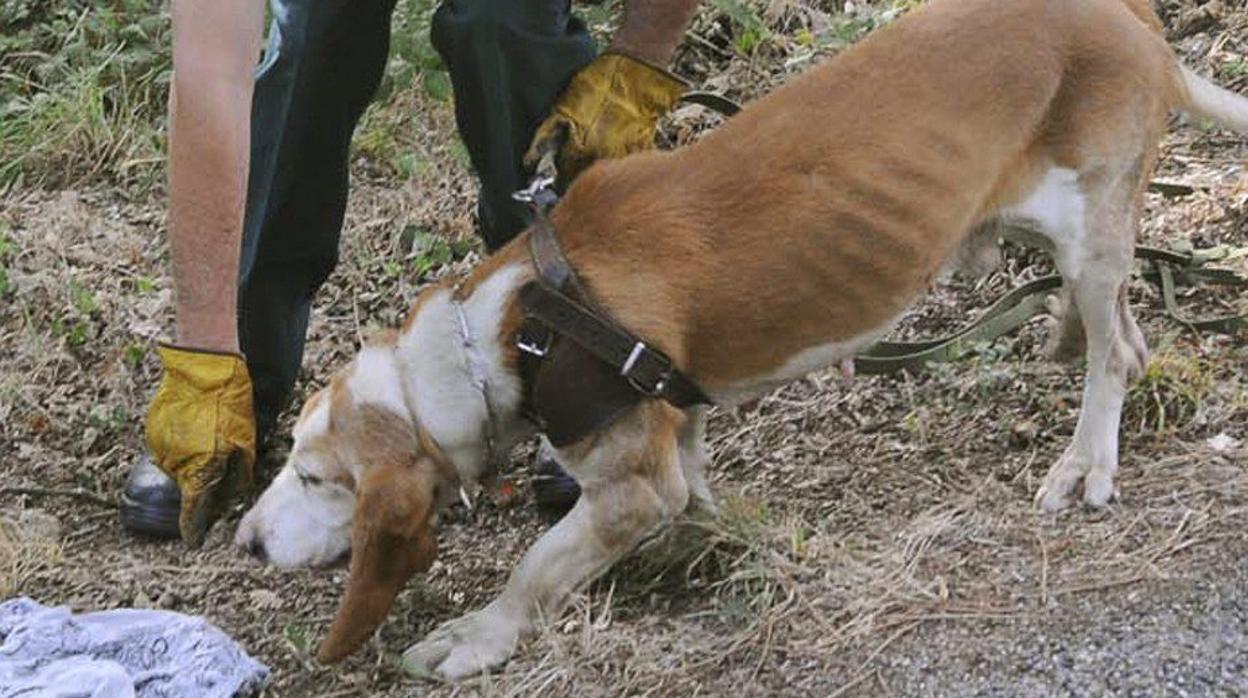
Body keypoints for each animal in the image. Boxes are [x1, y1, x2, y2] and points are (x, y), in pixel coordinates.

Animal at [234, 0, 1248, 679]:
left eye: (319, 480)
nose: (243, 544)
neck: (510, 331)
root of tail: (1134, 21)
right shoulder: (675, 432)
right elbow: (697, 494)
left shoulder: (629, 487)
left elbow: (538, 566)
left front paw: (477, 636)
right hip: (1060, 232)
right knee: (1119, 329)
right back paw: (1068, 335)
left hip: (1087, 228)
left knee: (1119, 355)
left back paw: (1086, 459)